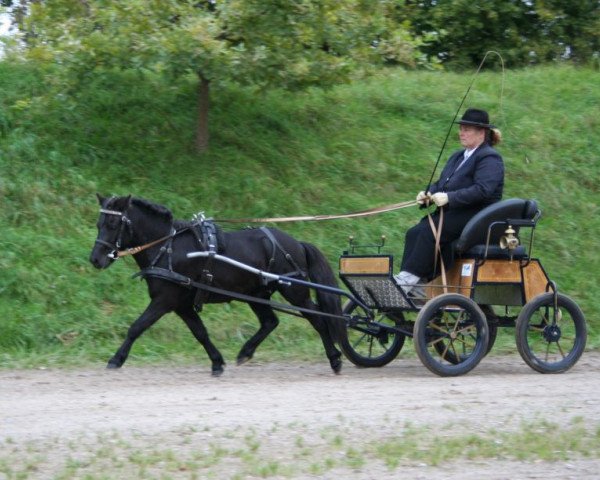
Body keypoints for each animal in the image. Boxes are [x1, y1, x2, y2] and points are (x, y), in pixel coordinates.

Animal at [86, 195, 344, 376]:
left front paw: (116, 359)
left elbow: (137, 327)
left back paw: (335, 358)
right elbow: (200, 332)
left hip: (294, 291)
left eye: (113, 223)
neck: (167, 247)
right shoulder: (182, 305)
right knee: (270, 321)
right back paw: (245, 352)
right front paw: (217, 362)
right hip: (255, 294)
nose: (95, 259)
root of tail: (296, 243)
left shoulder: (164, 301)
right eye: (98, 223)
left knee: (318, 319)